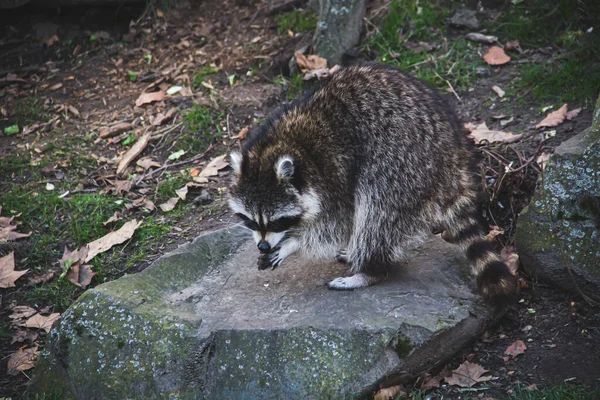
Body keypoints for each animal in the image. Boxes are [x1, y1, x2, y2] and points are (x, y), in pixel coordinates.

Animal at [227, 63, 516, 306]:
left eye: (277, 221)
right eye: (250, 220)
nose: (263, 246)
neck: (282, 145)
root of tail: (456, 148)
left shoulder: (333, 172)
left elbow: (336, 225)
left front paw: (292, 245)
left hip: (404, 160)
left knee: (377, 211)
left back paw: (370, 270)